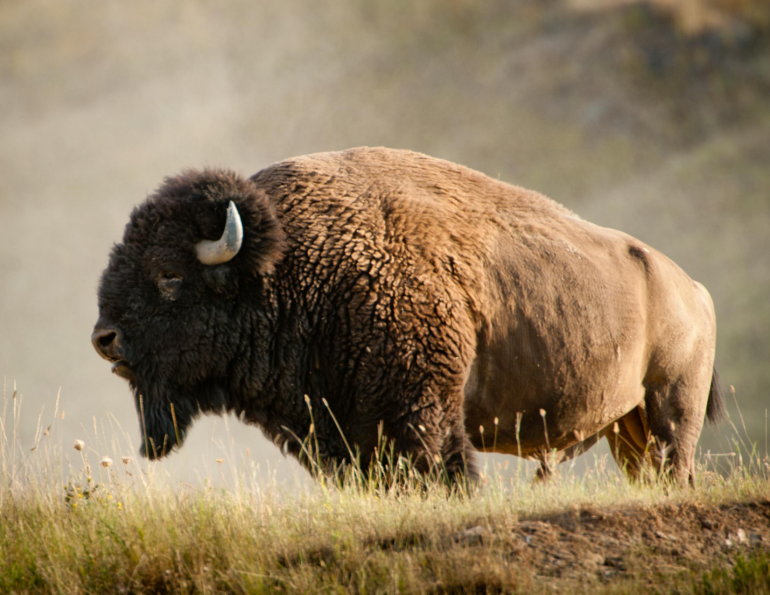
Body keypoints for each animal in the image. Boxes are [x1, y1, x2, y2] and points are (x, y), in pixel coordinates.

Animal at [91, 148, 720, 484]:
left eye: (169, 276)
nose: (105, 339)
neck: (291, 264)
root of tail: (694, 289)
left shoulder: (421, 414)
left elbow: (442, 468)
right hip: (626, 426)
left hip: (669, 409)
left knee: (676, 464)